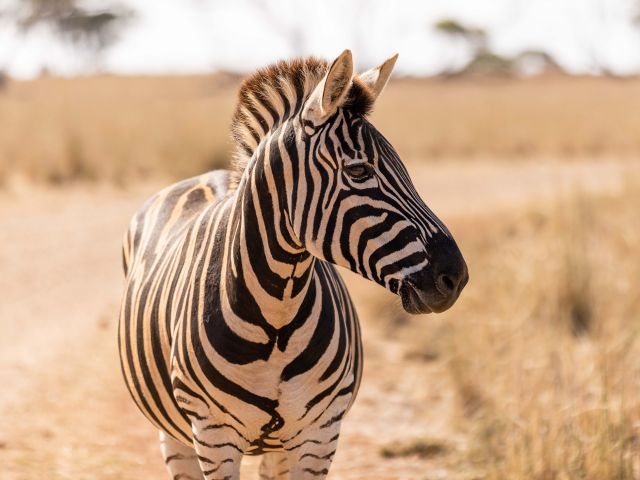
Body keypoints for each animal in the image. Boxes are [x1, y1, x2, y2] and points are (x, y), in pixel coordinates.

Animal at [118, 50, 468, 480]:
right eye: (358, 171)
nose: (456, 276)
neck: (276, 316)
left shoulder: (320, 433)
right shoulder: (214, 435)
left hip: (278, 445)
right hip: (175, 434)